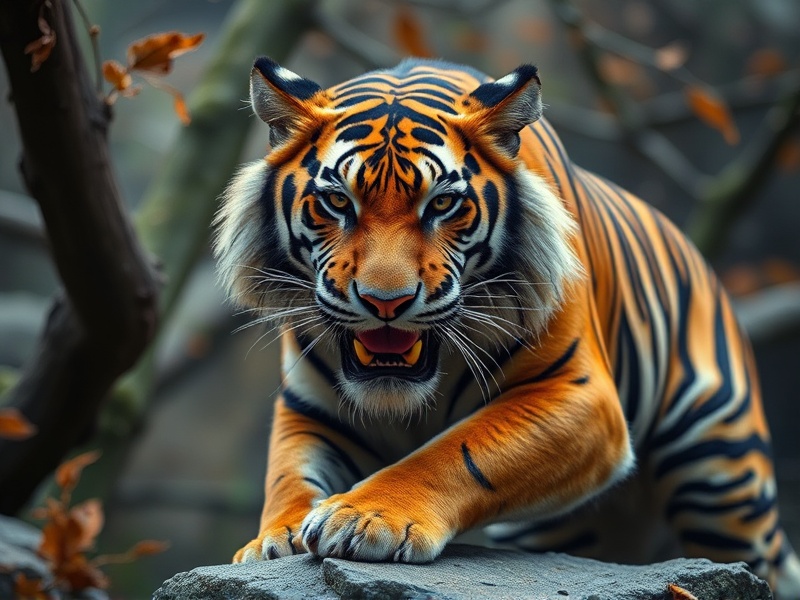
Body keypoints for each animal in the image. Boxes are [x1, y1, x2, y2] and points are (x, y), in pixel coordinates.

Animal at [213, 56, 800, 597]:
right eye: (337, 201)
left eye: (443, 204)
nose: (386, 302)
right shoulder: (310, 407)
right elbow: (288, 475)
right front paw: (275, 539)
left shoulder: (578, 394)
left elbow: (456, 453)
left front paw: (363, 517)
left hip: (723, 475)